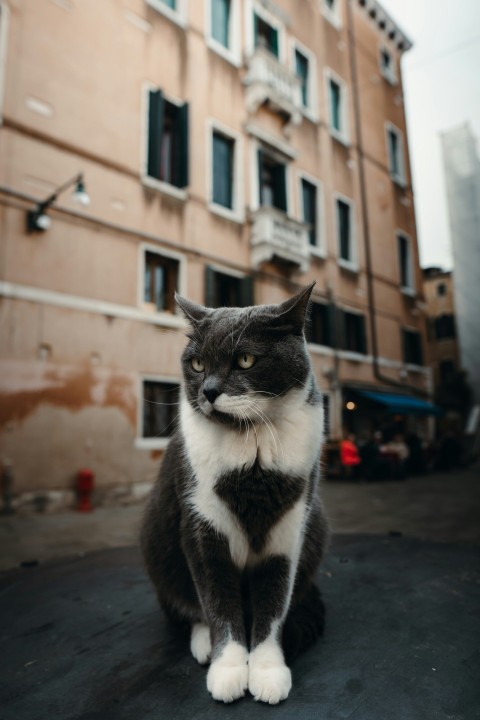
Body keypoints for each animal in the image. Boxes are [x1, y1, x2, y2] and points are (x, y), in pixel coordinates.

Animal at [141, 284, 330, 704]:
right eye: (197, 364)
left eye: (245, 359)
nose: (209, 391)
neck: (252, 439)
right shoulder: (201, 527)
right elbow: (218, 604)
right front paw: (228, 668)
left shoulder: (288, 532)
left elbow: (274, 603)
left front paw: (267, 669)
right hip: (158, 545)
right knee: (189, 607)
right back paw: (203, 645)